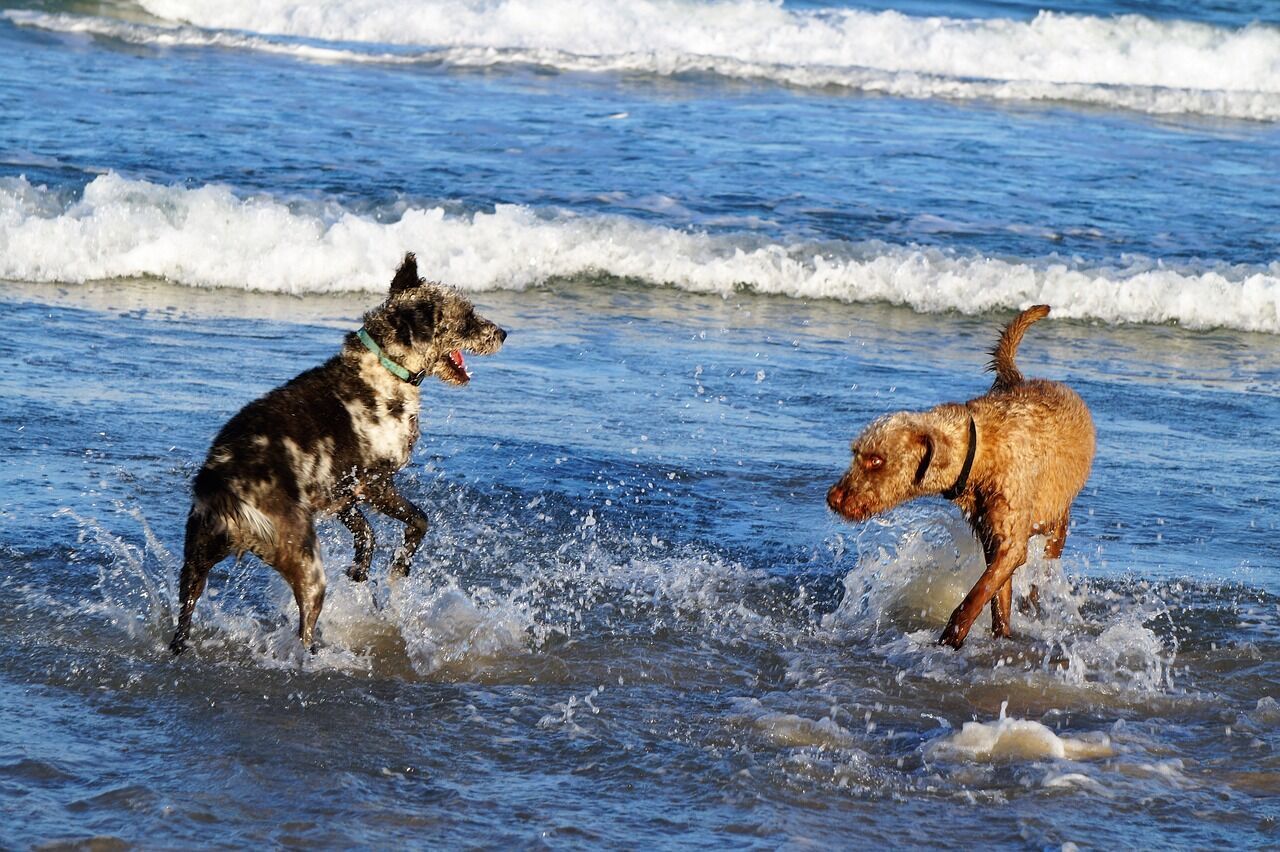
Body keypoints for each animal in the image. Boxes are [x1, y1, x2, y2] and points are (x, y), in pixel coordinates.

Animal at [168, 252, 504, 649]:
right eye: (467, 317)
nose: (503, 333)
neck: (385, 365)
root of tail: (225, 483)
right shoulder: (375, 484)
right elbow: (418, 520)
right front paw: (400, 565)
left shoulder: (340, 491)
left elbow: (366, 532)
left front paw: (360, 568)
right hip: (306, 563)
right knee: (304, 626)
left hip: (197, 556)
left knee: (185, 613)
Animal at [824, 305, 1095, 644]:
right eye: (856, 453)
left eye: (876, 459)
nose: (832, 498)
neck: (980, 452)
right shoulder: (992, 542)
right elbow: (998, 600)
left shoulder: (1009, 543)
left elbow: (975, 597)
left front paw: (951, 637)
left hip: (1056, 528)